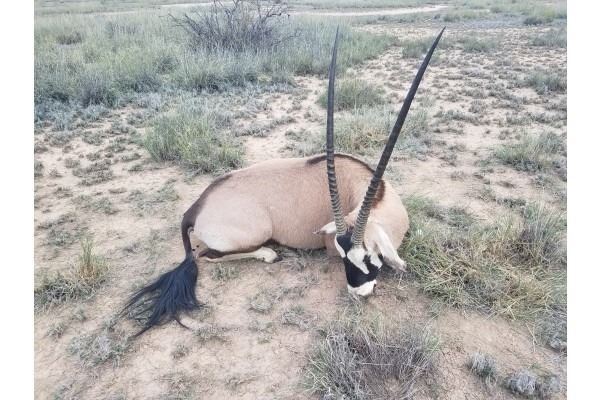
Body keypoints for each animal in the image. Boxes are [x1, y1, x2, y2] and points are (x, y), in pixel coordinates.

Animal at [123, 27, 445, 336]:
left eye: (369, 255)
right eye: (344, 255)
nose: (359, 293)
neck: (370, 190)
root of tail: (195, 208)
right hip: (254, 232)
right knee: (208, 255)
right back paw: (269, 254)